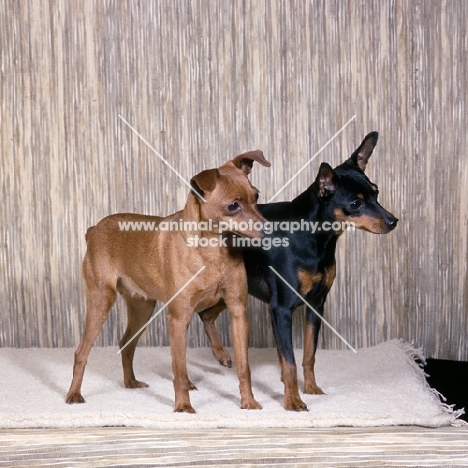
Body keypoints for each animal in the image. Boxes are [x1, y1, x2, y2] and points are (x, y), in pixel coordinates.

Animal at [66, 151, 270, 414]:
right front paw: (183, 406)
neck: (213, 250)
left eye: (256, 196)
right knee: (81, 351)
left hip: (142, 309)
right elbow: (179, 371)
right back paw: (74, 393)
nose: (268, 228)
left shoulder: (237, 311)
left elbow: (244, 367)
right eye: (233, 206)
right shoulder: (179, 317)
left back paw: (131, 382)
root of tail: (93, 229)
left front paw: (248, 401)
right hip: (102, 301)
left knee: (127, 344)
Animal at [199, 132, 396, 410]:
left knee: (205, 315)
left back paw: (221, 354)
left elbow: (308, 356)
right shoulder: (281, 309)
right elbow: (290, 361)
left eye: (376, 193)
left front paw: (310, 388)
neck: (316, 238)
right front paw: (292, 400)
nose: (393, 221)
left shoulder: (316, 305)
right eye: (356, 203)